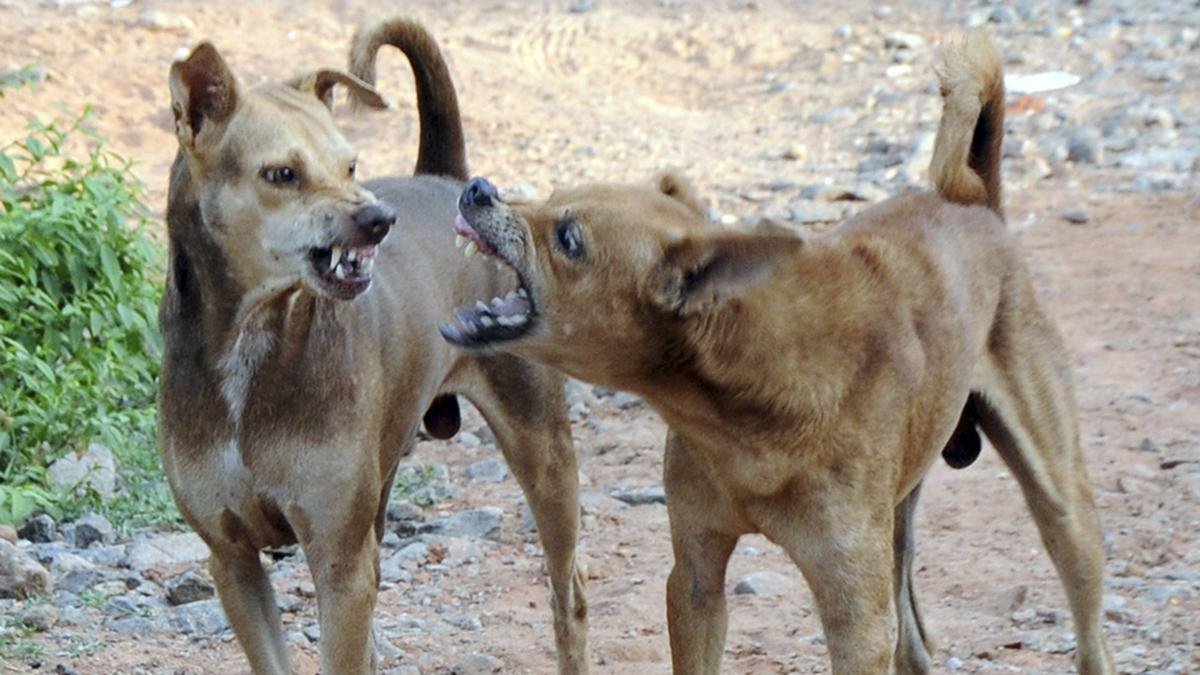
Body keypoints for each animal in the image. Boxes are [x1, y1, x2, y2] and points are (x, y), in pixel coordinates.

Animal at [159, 18, 590, 667]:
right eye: (282, 174)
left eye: (351, 167)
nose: (380, 220)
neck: (253, 344)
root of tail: (448, 180)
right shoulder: (231, 560)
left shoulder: (339, 561)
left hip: (543, 453)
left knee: (570, 595)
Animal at [439, 35, 1113, 672]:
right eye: (549, 196)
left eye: (569, 239)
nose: (477, 188)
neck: (747, 393)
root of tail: (977, 205)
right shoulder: (696, 577)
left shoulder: (855, 617)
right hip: (899, 518)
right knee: (916, 648)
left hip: (1061, 508)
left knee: (1090, 636)